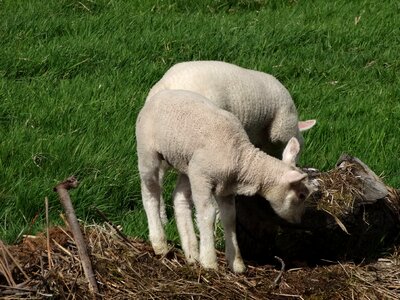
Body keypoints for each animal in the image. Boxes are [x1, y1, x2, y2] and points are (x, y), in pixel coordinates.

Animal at [136, 88, 318, 272]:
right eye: (301, 195)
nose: (299, 220)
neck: (242, 159)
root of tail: (160, 93)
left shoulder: (226, 188)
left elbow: (230, 218)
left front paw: (237, 264)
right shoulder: (201, 177)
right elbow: (207, 215)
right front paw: (209, 261)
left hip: (186, 164)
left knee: (179, 198)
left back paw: (191, 253)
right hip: (148, 152)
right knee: (150, 193)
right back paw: (160, 243)